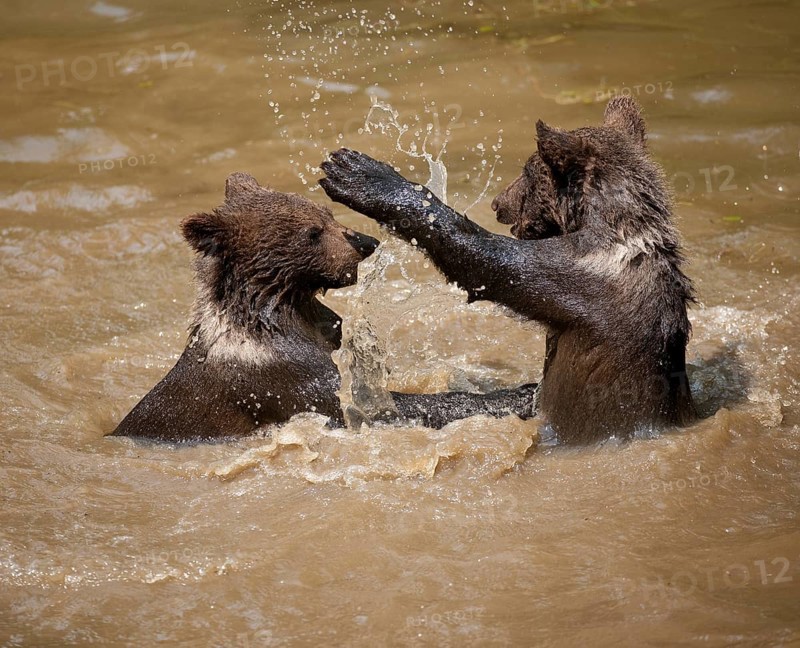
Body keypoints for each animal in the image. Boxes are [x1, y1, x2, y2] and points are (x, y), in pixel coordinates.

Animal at [110, 172, 537, 442]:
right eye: (312, 233)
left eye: (327, 214)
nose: (364, 242)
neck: (284, 310)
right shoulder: (281, 377)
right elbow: (368, 406)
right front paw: (518, 393)